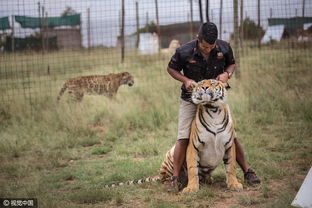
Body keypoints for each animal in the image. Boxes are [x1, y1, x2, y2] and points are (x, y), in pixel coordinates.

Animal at [103, 79, 243, 193]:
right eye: (200, 83)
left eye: (213, 82)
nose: (204, 87)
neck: (214, 110)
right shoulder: (193, 147)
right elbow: (193, 169)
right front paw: (191, 188)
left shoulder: (229, 145)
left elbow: (231, 167)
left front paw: (234, 185)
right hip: (170, 156)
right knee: (166, 178)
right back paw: (174, 183)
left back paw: (208, 180)